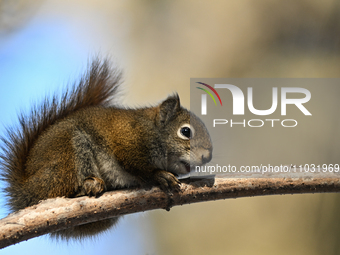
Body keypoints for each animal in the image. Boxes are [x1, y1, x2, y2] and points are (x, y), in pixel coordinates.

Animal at [0, 58, 212, 240]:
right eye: (185, 131)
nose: (207, 157)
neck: (153, 131)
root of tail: (27, 189)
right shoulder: (128, 142)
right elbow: (139, 166)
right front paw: (161, 175)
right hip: (66, 155)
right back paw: (89, 185)